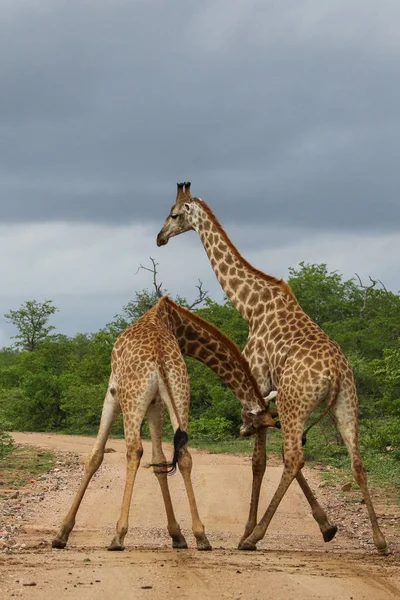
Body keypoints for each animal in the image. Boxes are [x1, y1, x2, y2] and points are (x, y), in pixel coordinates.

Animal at [51, 296, 278, 552]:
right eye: (257, 424)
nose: (244, 432)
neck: (173, 320)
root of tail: (159, 356)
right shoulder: (156, 402)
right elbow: (159, 461)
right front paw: (177, 535)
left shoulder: (113, 392)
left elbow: (95, 456)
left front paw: (62, 533)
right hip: (181, 393)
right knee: (185, 455)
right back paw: (201, 536)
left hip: (133, 397)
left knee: (134, 450)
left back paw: (118, 536)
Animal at [156, 180, 390, 556]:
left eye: (175, 214)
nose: (160, 237)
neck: (250, 305)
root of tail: (335, 373)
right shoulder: (266, 396)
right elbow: (266, 457)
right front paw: (327, 526)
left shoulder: (258, 384)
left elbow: (259, 461)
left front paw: (248, 531)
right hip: (346, 404)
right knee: (357, 462)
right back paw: (381, 542)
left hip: (296, 403)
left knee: (293, 458)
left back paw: (256, 537)